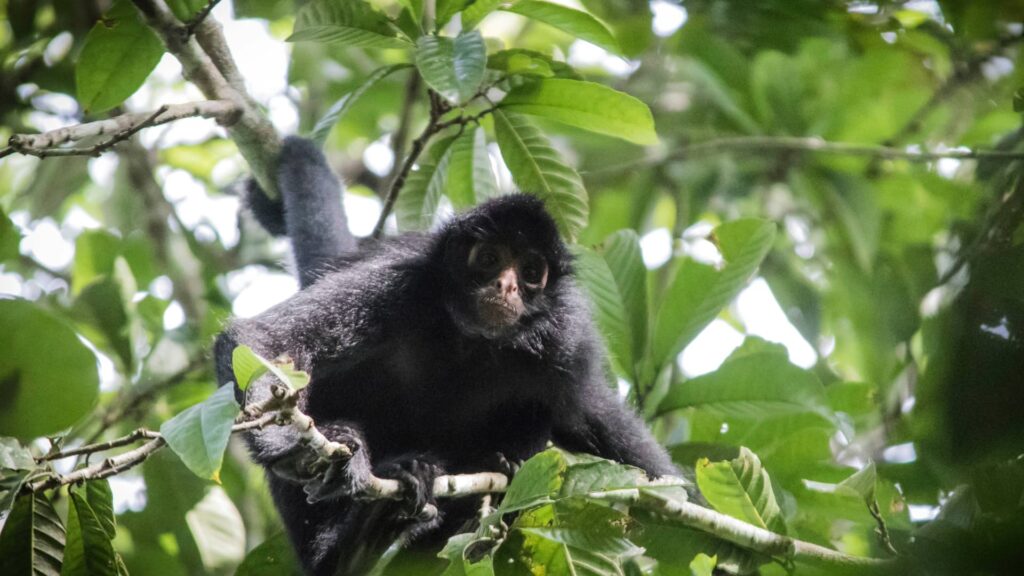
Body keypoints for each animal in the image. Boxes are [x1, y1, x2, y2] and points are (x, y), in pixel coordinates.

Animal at [214, 137, 679, 575]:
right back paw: (353, 538)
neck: (468, 341)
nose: (507, 286)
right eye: (489, 258)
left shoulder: (567, 341)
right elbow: (263, 340)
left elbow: (598, 422)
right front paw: (289, 444)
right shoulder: (399, 283)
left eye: (531, 272)